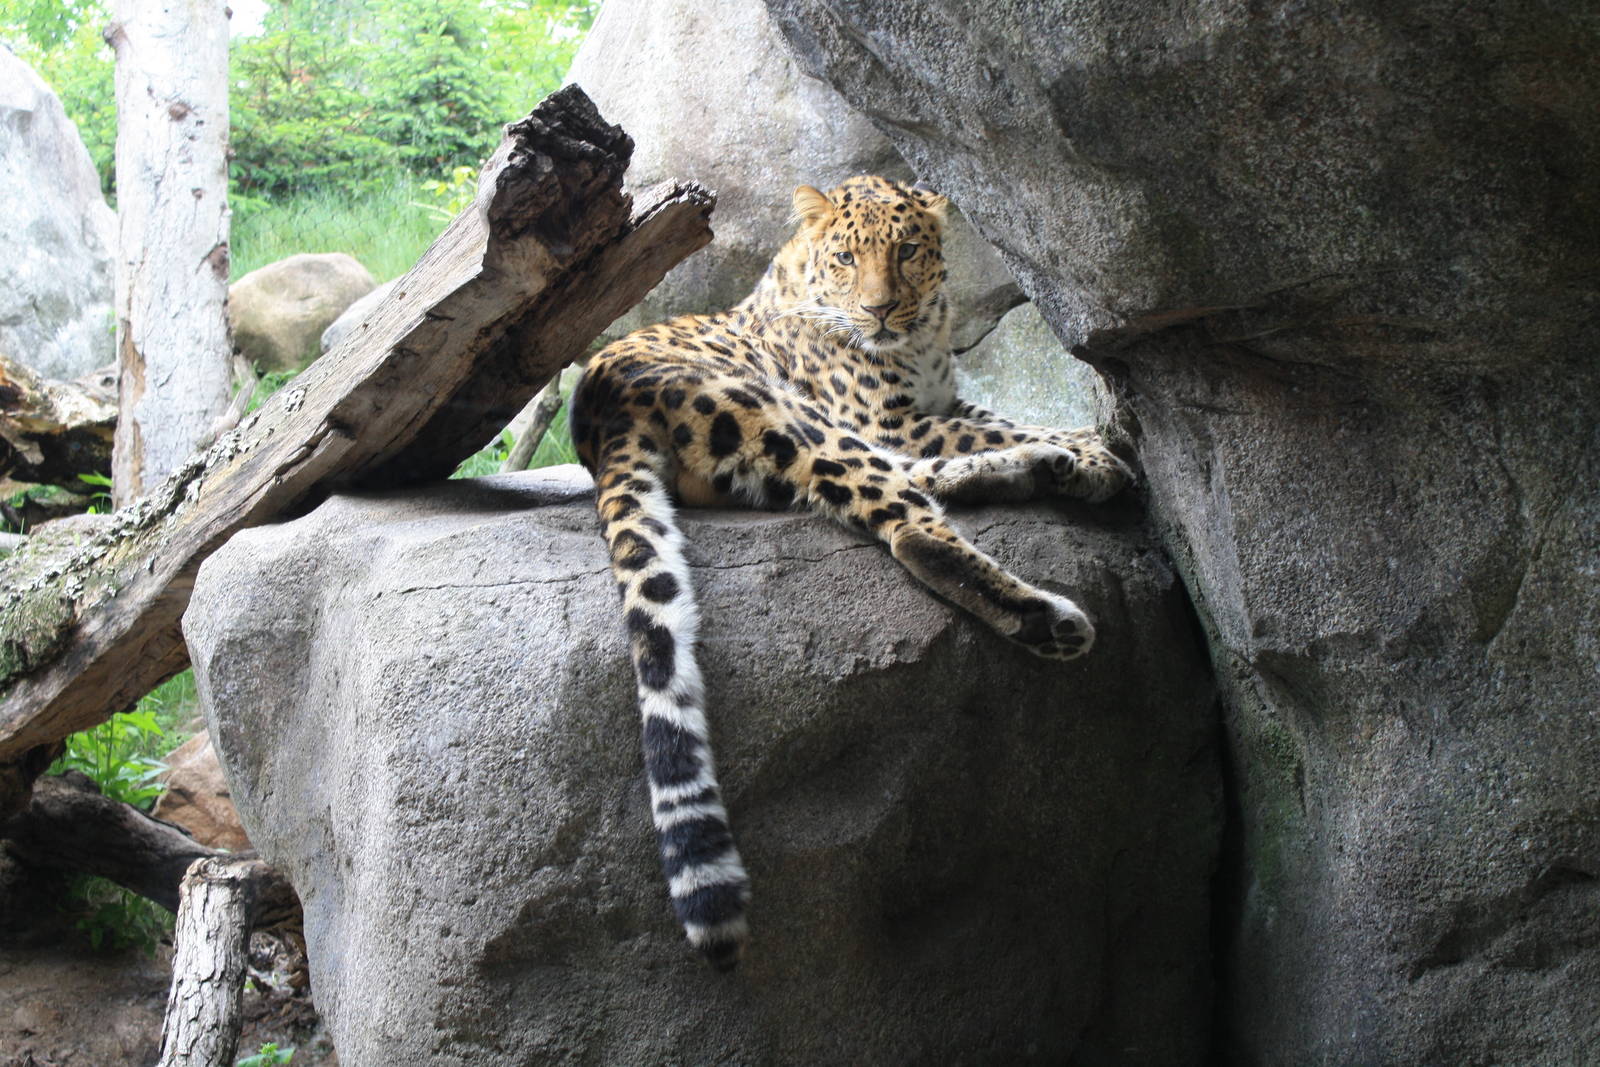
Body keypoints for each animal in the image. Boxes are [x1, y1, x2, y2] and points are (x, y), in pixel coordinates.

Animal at [568, 175, 1133, 971]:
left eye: (908, 251)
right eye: (845, 258)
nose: (879, 310)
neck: (923, 337)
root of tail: (601, 408)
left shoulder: (936, 403)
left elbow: (997, 417)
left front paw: (1082, 443)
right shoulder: (892, 420)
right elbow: (988, 426)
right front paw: (1089, 444)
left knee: (909, 487)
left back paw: (1047, 470)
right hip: (801, 420)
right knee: (909, 526)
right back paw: (1048, 613)